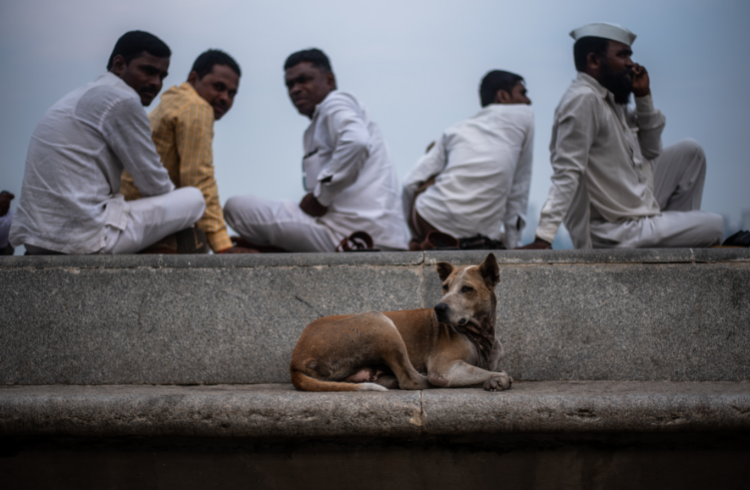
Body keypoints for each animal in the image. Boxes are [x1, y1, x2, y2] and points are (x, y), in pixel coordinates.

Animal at [290, 255, 516, 392]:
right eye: (445, 286)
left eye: (467, 289)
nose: (439, 308)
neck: (481, 333)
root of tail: (295, 361)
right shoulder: (444, 369)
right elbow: (500, 373)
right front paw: (498, 379)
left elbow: (495, 369)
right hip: (380, 322)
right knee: (411, 380)